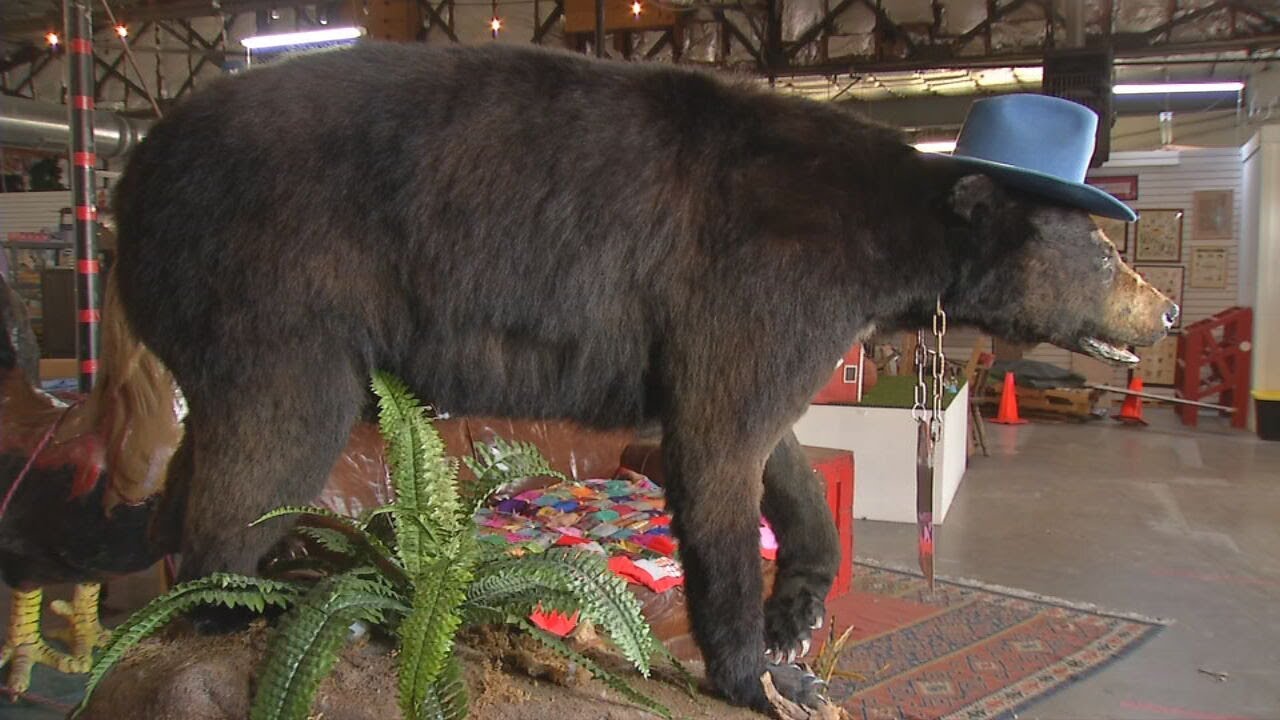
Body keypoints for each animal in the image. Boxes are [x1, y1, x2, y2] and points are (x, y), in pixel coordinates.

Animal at [109, 41, 1176, 714]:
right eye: (1100, 250)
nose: (1163, 308)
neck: (893, 232)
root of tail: (131, 178)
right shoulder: (767, 271)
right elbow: (718, 452)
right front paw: (765, 676)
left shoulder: (762, 318)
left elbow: (765, 443)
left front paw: (798, 612)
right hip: (274, 283)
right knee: (270, 443)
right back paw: (241, 603)